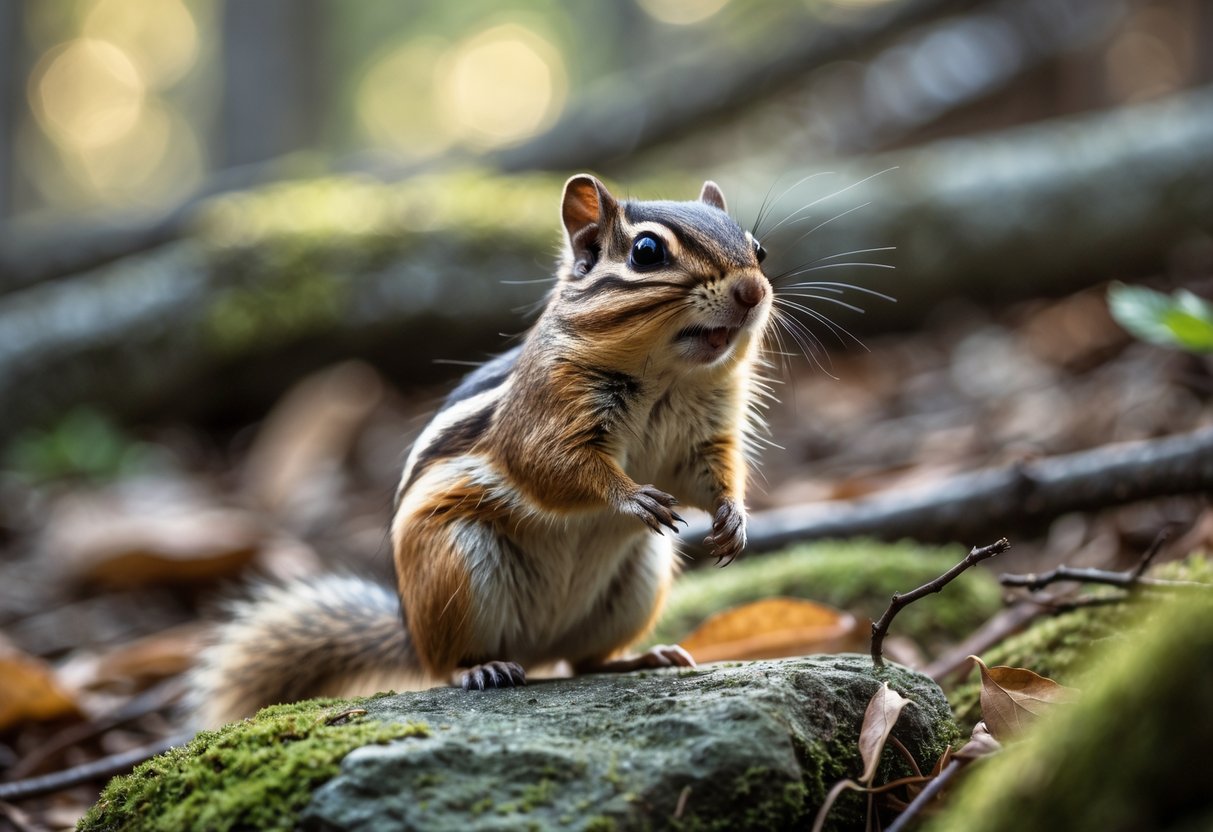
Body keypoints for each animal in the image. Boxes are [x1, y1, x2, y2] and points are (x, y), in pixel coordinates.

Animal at [189, 174, 773, 728]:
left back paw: (640, 658)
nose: (752, 290)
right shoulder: (542, 417)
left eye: (758, 249)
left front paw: (733, 519)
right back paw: (482, 668)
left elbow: (712, 474)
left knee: (582, 660)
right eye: (647, 252)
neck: (668, 379)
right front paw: (631, 497)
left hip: (637, 582)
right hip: (458, 565)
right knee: (452, 664)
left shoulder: (705, 437)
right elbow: (553, 467)